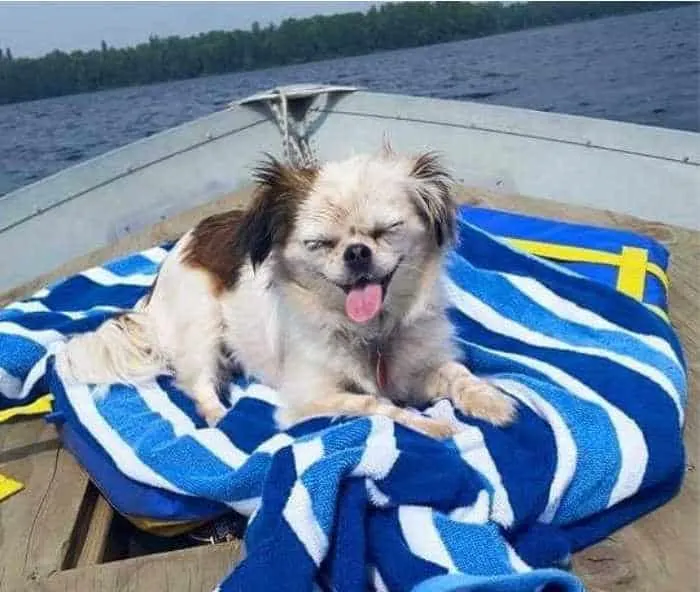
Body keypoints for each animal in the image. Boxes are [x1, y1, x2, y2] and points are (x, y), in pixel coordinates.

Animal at [58, 146, 516, 438]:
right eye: (320, 243)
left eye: (387, 230)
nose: (357, 252)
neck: (371, 334)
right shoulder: (309, 397)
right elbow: (377, 406)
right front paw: (431, 425)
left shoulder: (419, 368)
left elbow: (458, 374)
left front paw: (493, 403)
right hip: (202, 323)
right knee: (199, 385)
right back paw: (222, 417)